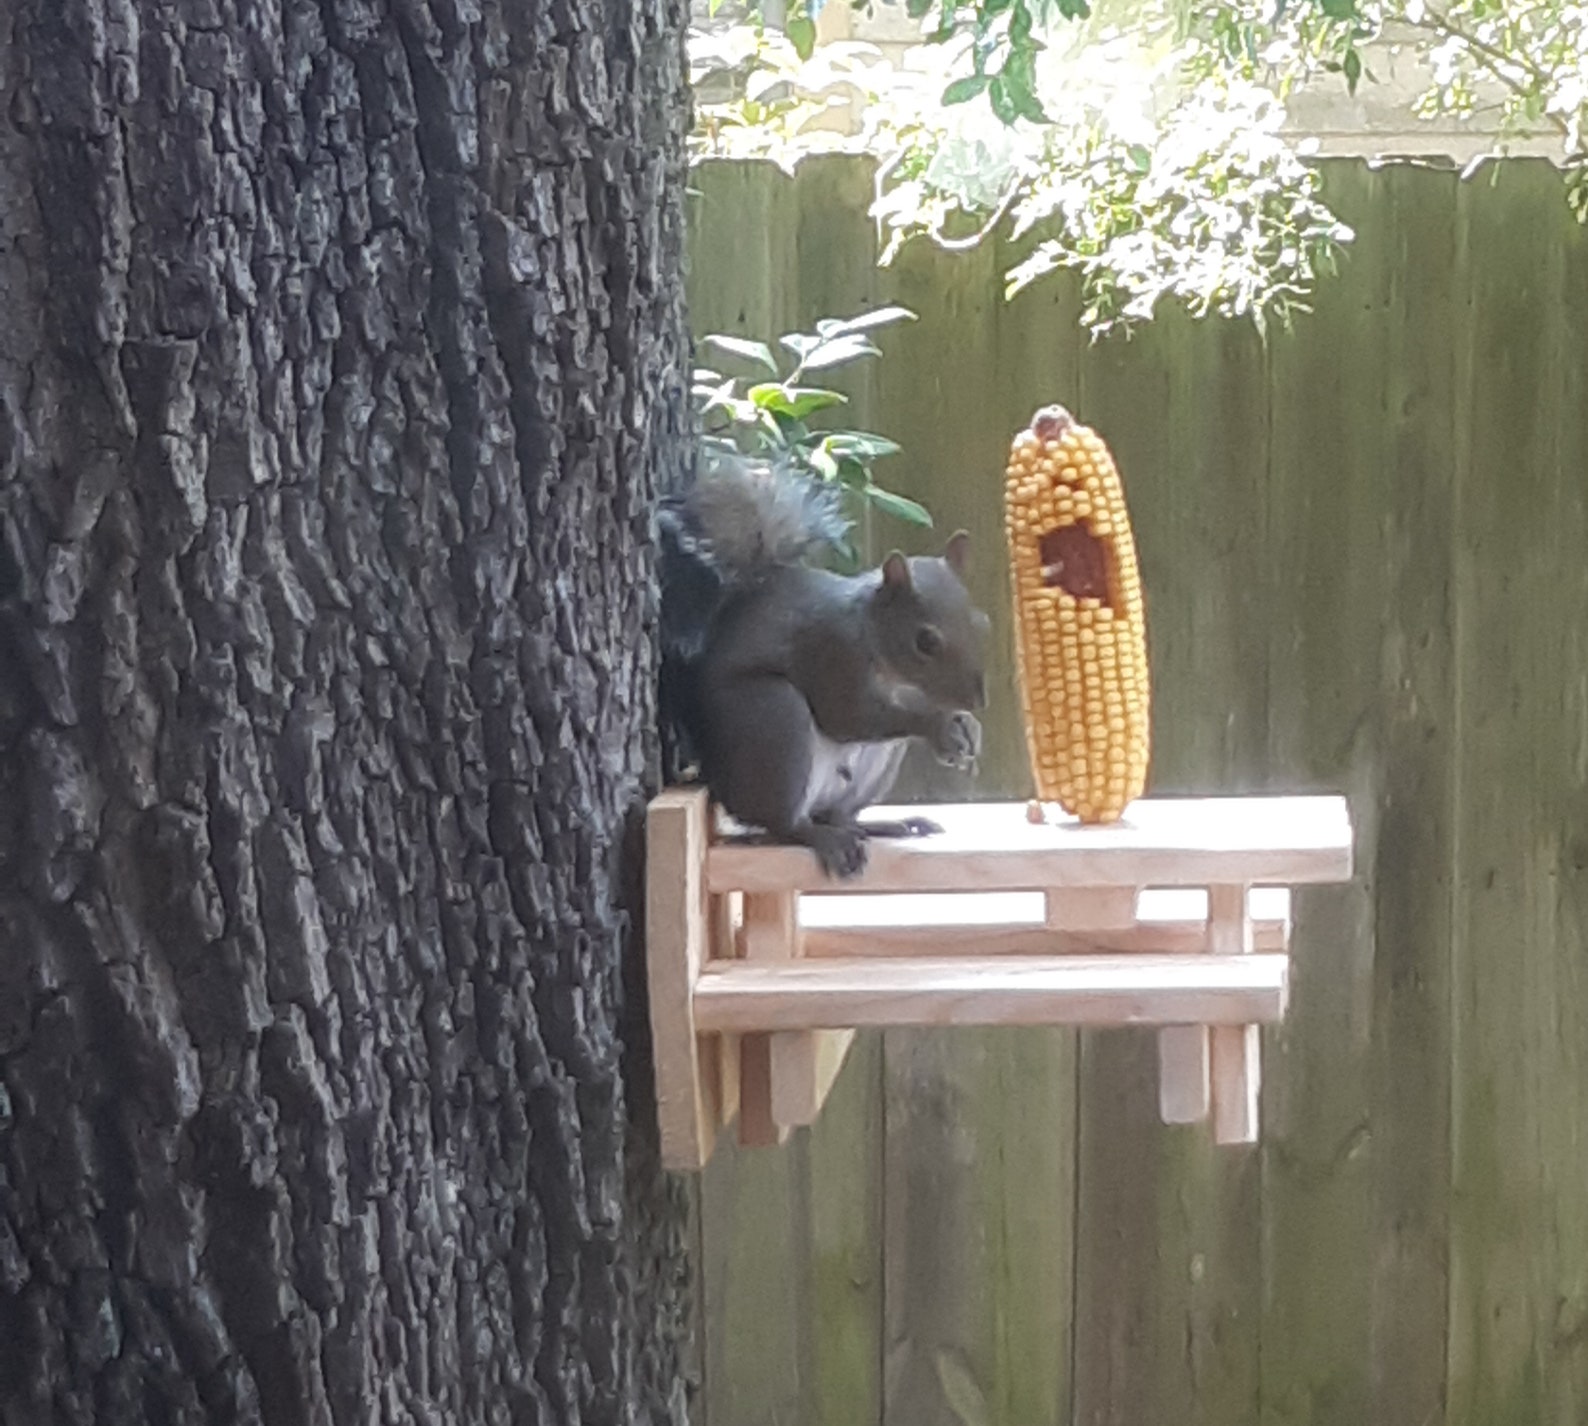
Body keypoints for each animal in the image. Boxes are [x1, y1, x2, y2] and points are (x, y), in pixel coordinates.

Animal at [658, 452, 991, 878]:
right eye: (925, 641)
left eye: (981, 622)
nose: (977, 699)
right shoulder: (834, 653)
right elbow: (847, 716)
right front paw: (939, 726)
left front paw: (968, 727)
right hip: (774, 719)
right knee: (783, 822)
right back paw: (823, 837)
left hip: (870, 771)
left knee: (840, 814)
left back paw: (883, 824)